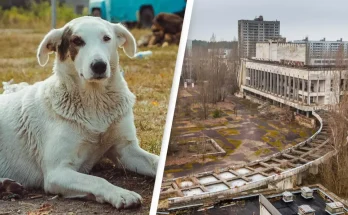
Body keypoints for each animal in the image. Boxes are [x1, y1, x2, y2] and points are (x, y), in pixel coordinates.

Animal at [0, 16, 160, 210]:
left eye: (106, 38)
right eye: (77, 41)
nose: (99, 66)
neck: (94, 102)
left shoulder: (126, 151)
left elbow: (156, 161)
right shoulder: (57, 172)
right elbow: (97, 180)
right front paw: (121, 193)